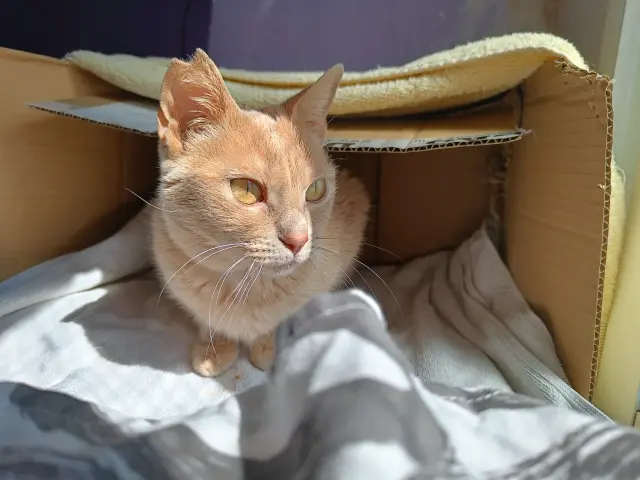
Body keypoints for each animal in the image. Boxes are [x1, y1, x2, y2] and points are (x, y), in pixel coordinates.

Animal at [0, 49, 370, 378]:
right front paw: (214, 348)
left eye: (315, 190)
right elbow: (206, 319)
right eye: (246, 190)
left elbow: (277, 321)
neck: (244, 287)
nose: (299, 239)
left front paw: (265, 346)